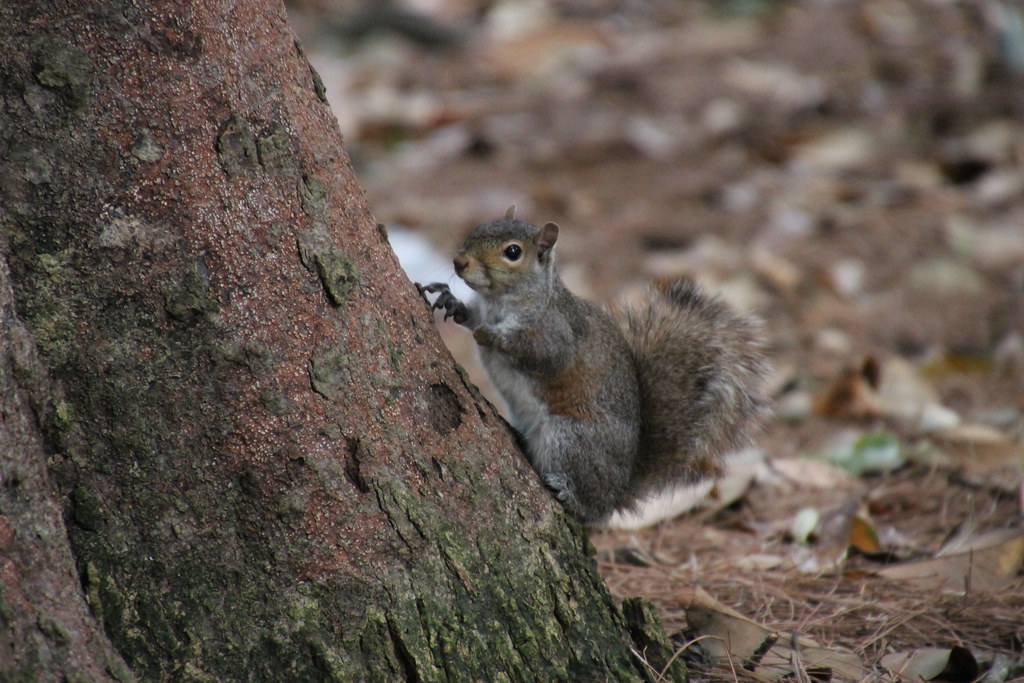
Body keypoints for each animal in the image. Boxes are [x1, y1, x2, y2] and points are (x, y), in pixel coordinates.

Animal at [418, 207, 770, 525]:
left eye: (513, 252)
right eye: (478, 229)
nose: (459, 262)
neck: (503, 301)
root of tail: (618, 490)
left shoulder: (556, 331)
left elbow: (545, 354)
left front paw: (493, 335)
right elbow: (470, 315)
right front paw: (450, 300)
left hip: (571, 439)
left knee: (592, 509)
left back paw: (569, 494)